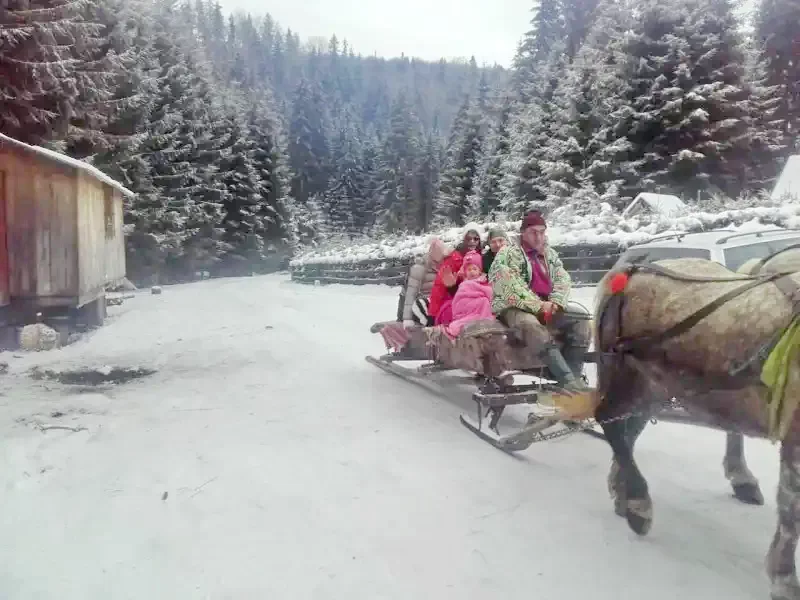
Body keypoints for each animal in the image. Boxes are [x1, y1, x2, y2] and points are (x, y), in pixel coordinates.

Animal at [592, 245, 800, 600]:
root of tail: (628, 270)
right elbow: (791, 511)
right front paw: (784, 579)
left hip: (650, 384)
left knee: (627, 431)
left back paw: (622, 492)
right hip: (623, 372)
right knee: (610, 422)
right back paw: (637, 503)